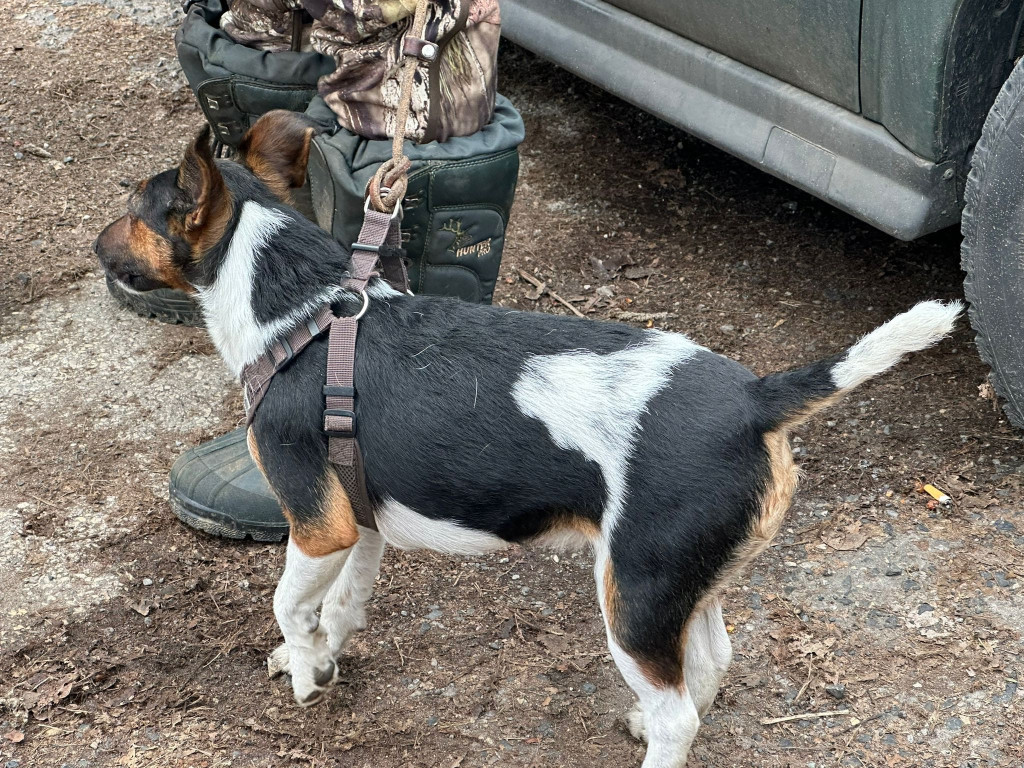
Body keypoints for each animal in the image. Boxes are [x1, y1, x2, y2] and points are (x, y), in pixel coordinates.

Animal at [94, 111, 958, 765]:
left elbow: (287, 603)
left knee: (679, 710)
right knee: (709, 664)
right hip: (684, 579)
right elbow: (339, 604)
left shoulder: (317, 523)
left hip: (633, 593)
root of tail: (755, 399)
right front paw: (324, 651)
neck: (297, 311)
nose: (93, 247)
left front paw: (307, 674)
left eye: (134, 210)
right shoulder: (358, 521)